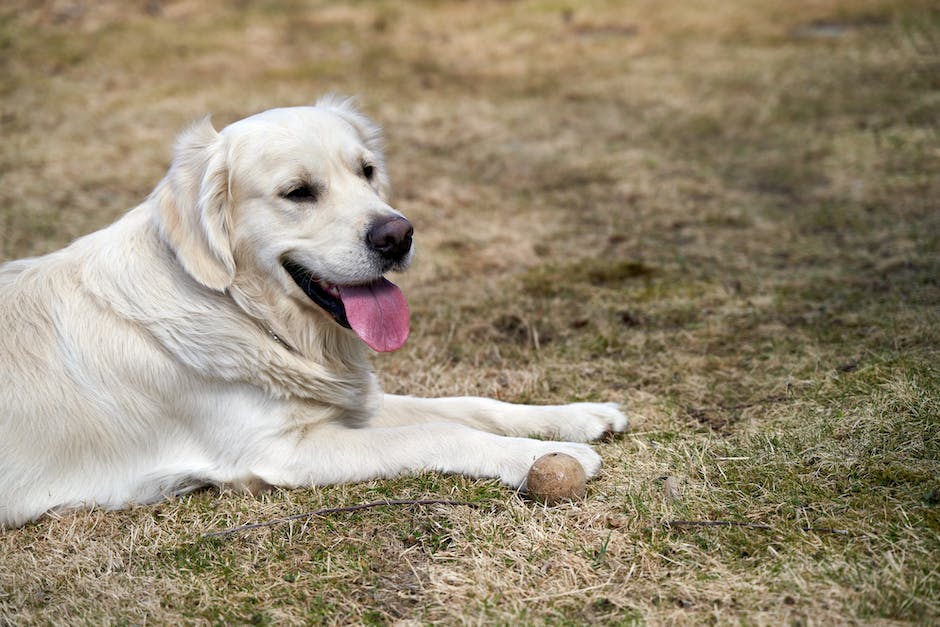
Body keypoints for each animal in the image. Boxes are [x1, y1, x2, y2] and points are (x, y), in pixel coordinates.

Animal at [1, 97, 632, 528]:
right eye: (299, 192)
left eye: (367, 171)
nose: (397, 235)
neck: (249, 315)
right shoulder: (283, 451)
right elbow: (438, 431)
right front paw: (545, 456)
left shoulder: (348, 403)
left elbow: (467, 405)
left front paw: (576, 416)